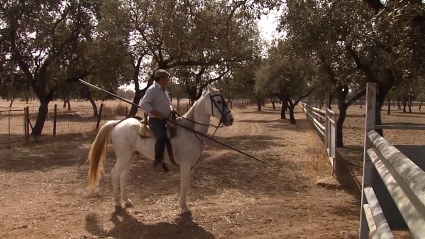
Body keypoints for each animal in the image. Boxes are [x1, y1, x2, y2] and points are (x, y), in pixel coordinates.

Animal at [85, 86, 232, 213]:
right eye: (219, 101)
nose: (230, 119)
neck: (190, 131)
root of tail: (117, 123)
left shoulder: (190, 166)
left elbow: (186, 184)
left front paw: (184, 205)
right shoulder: (185, 165)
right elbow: (183, 185)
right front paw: (184, 207)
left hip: (130, 157)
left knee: (123, 176)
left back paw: (126, 201)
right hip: (123, 157)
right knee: (115, 174)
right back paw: (117, 203)